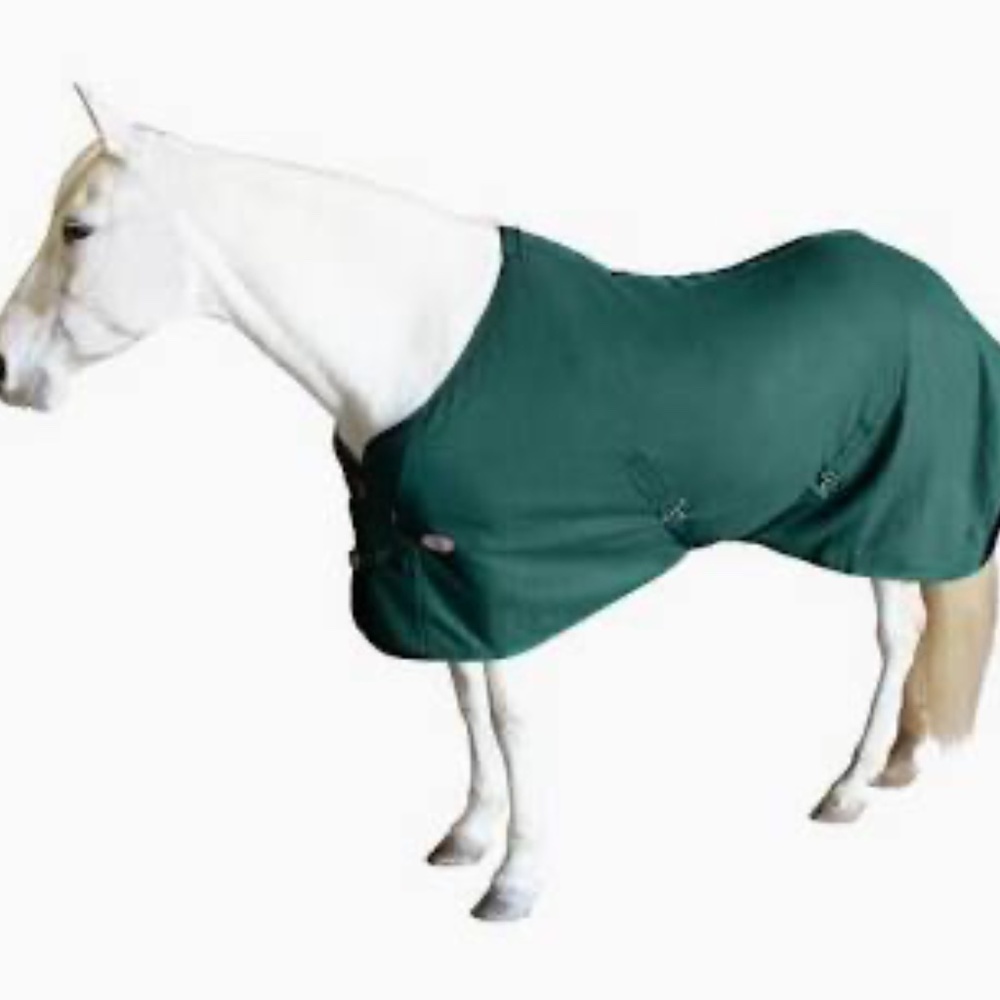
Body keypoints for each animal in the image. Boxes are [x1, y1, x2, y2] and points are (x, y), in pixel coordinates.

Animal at [1, 87, 996, 922]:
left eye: (77, 228)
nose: (6, 370)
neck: (418, 343)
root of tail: (944, 297)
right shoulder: (440, 573)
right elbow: (466, 700)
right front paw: (469, 835)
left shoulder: (504, 573)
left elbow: (511, 720)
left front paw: (515, 881)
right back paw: (894, 765)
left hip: (891, 518)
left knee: (898, 636)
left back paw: (849, 788)